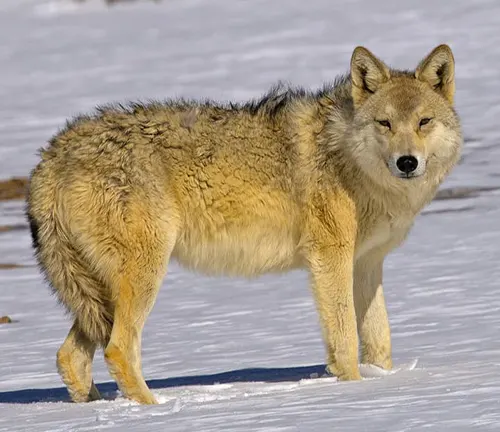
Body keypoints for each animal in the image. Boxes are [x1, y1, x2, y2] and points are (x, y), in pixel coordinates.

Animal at [25, 44, 462, 404]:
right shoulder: (329, 258)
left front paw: (384, 384)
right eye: (384, 124)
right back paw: (156, 409)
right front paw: (353, 391)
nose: (407, 162)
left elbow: (379, 340)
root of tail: (51, 155)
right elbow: (344, 338)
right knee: (117, 348)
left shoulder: (367, 263)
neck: (349, 160)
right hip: (144, 274)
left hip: (98, 294)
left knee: (69, 356)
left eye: (424, 122)